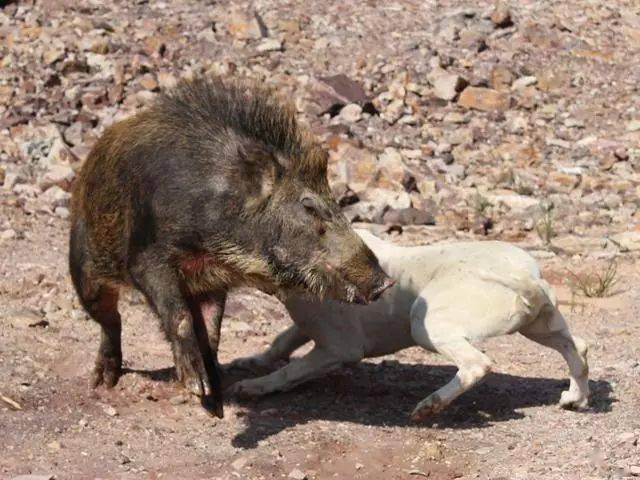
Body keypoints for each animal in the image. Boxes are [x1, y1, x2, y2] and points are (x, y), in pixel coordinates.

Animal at [229, 229, 592, 420]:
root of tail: (523, 275)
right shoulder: (309, 329)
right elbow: (281, 342)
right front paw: (253, 361)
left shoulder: (339, 349)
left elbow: (291, 370)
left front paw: (257, 387)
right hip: (539, 324)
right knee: (579, 348)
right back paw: (576, 397)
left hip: (426, 322)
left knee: (476, 365)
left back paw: (431, 405)